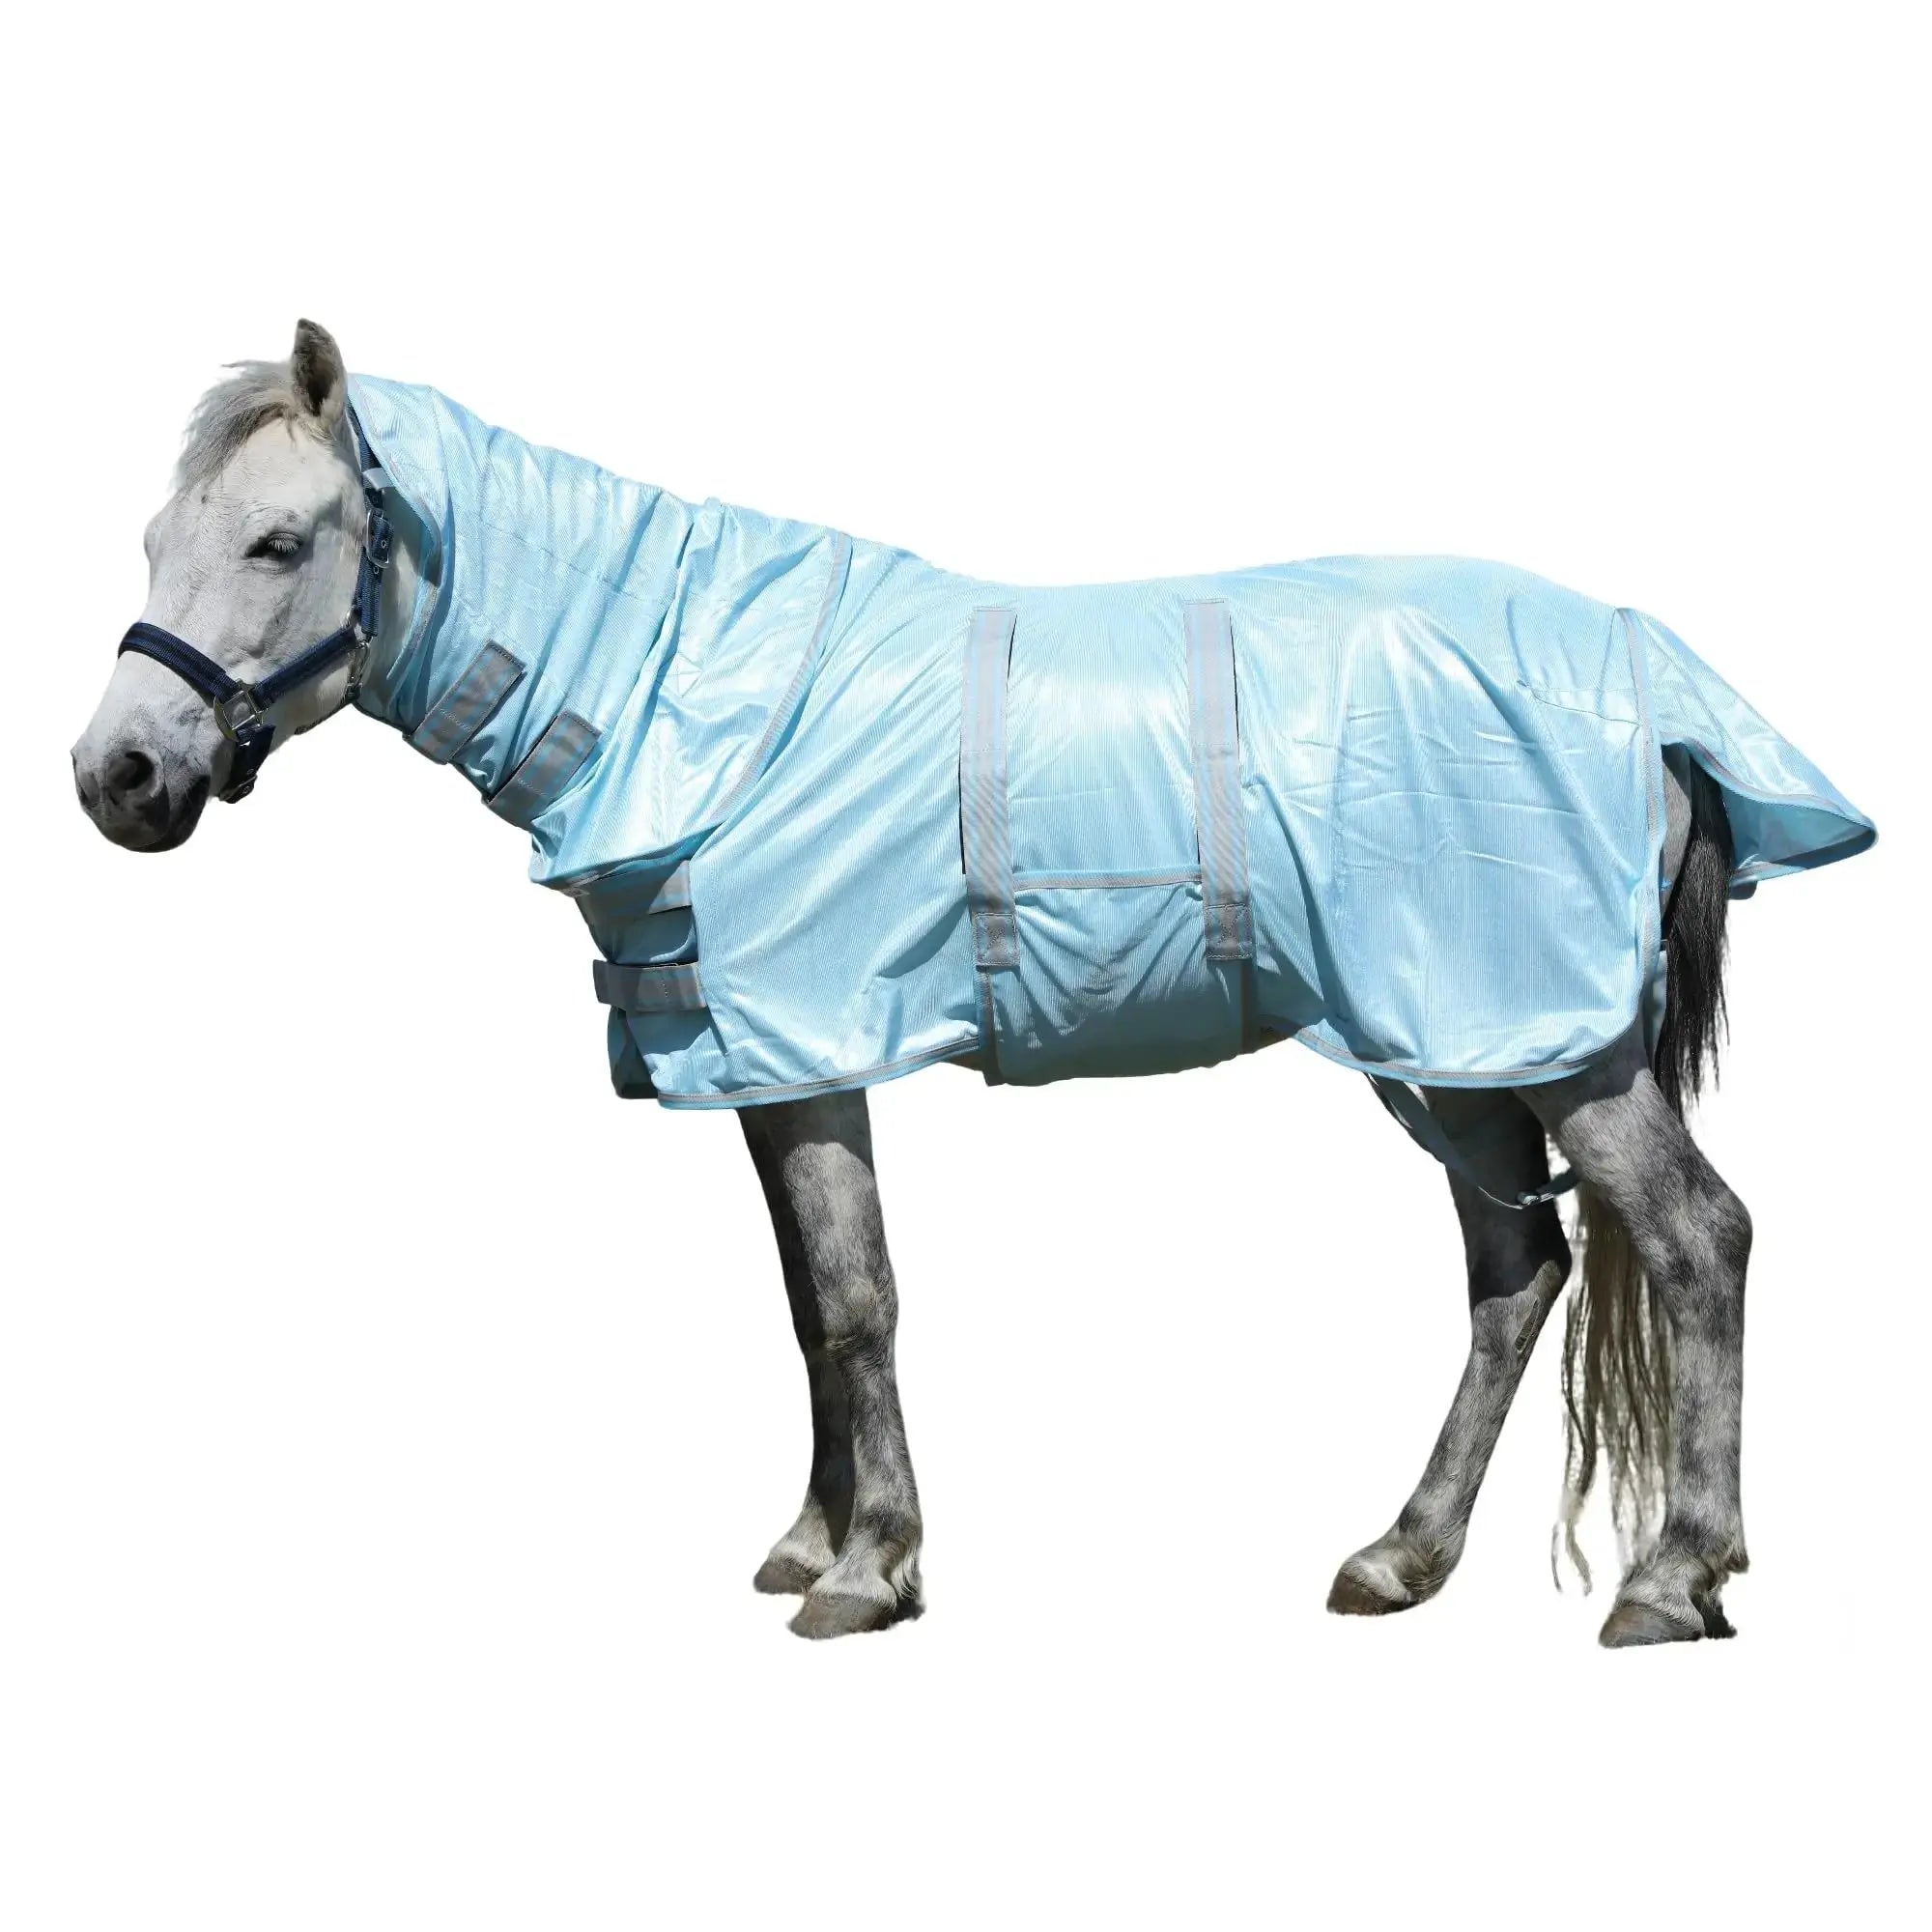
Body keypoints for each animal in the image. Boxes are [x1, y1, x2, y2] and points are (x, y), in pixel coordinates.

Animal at [72, 320, 1875, 1644]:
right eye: (155, 539)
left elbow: (857, 1300)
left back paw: (1674, 1577)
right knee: (1517, 1269)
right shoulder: (759, 1057)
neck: (688, 689)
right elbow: (806, 1306)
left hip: (1543, 1044)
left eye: (280, 540)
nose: (117, 779)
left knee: (1698, 1239)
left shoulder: (812, 1048)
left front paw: (873, 1571)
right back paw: (1400, 1557)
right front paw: (817, 1540)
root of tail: (1648, 678)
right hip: (1451, 1046)